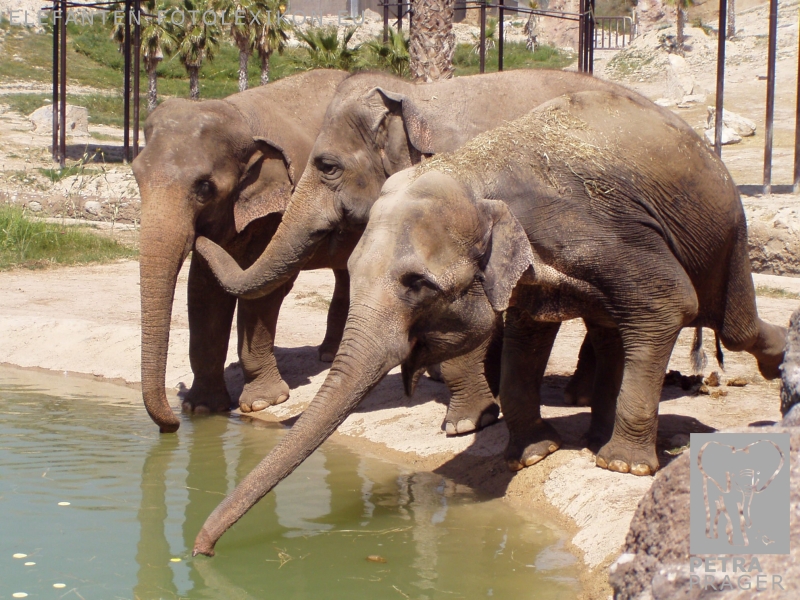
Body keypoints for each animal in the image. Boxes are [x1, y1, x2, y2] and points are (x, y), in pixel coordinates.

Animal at [132, 69, 361, 432]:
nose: (172, 425)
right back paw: (327, 353)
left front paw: (262, 403)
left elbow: (263, 291)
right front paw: (202, 408)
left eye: (204, 188)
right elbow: (203, 290)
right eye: (136, 176)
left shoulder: (281, 206)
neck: (237, 114)